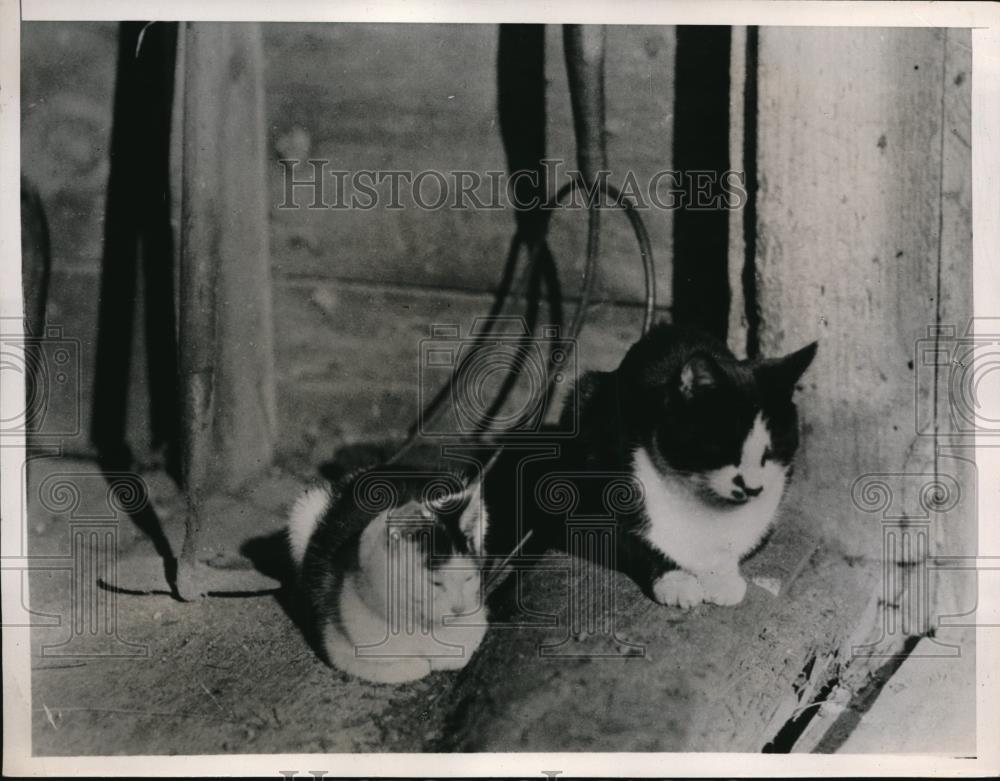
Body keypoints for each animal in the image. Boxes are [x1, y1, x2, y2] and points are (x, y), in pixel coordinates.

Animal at [288, 464, 490, 684]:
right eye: (435, 583)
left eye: (468, 578)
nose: (460, 609)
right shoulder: (338, 646)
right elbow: (410, 668)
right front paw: (420, 664)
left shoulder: (477, 619)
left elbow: (461, 650)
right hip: (304, 512)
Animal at [552, 322, 816, 608]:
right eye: (723, 447)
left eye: (773, 450)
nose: (752, 487)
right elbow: (633, 539)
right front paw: (675, 580)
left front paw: (722, 576)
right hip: (584, 394)